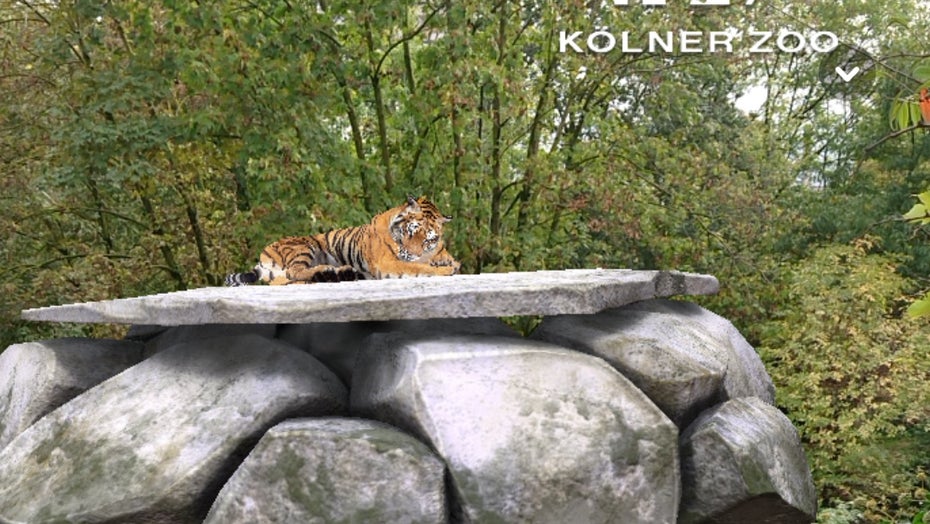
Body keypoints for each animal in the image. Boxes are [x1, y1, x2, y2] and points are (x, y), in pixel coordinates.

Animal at [224, 195, 461, 286]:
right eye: (410, 232)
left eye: (427, 240)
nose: (412, 253)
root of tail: (263, 255)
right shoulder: (388, 262)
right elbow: (421, 268)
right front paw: (445, 270)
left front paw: (448, 263)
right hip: (304, 246)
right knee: (291, 274)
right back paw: (326, 273)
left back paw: (338, 273)